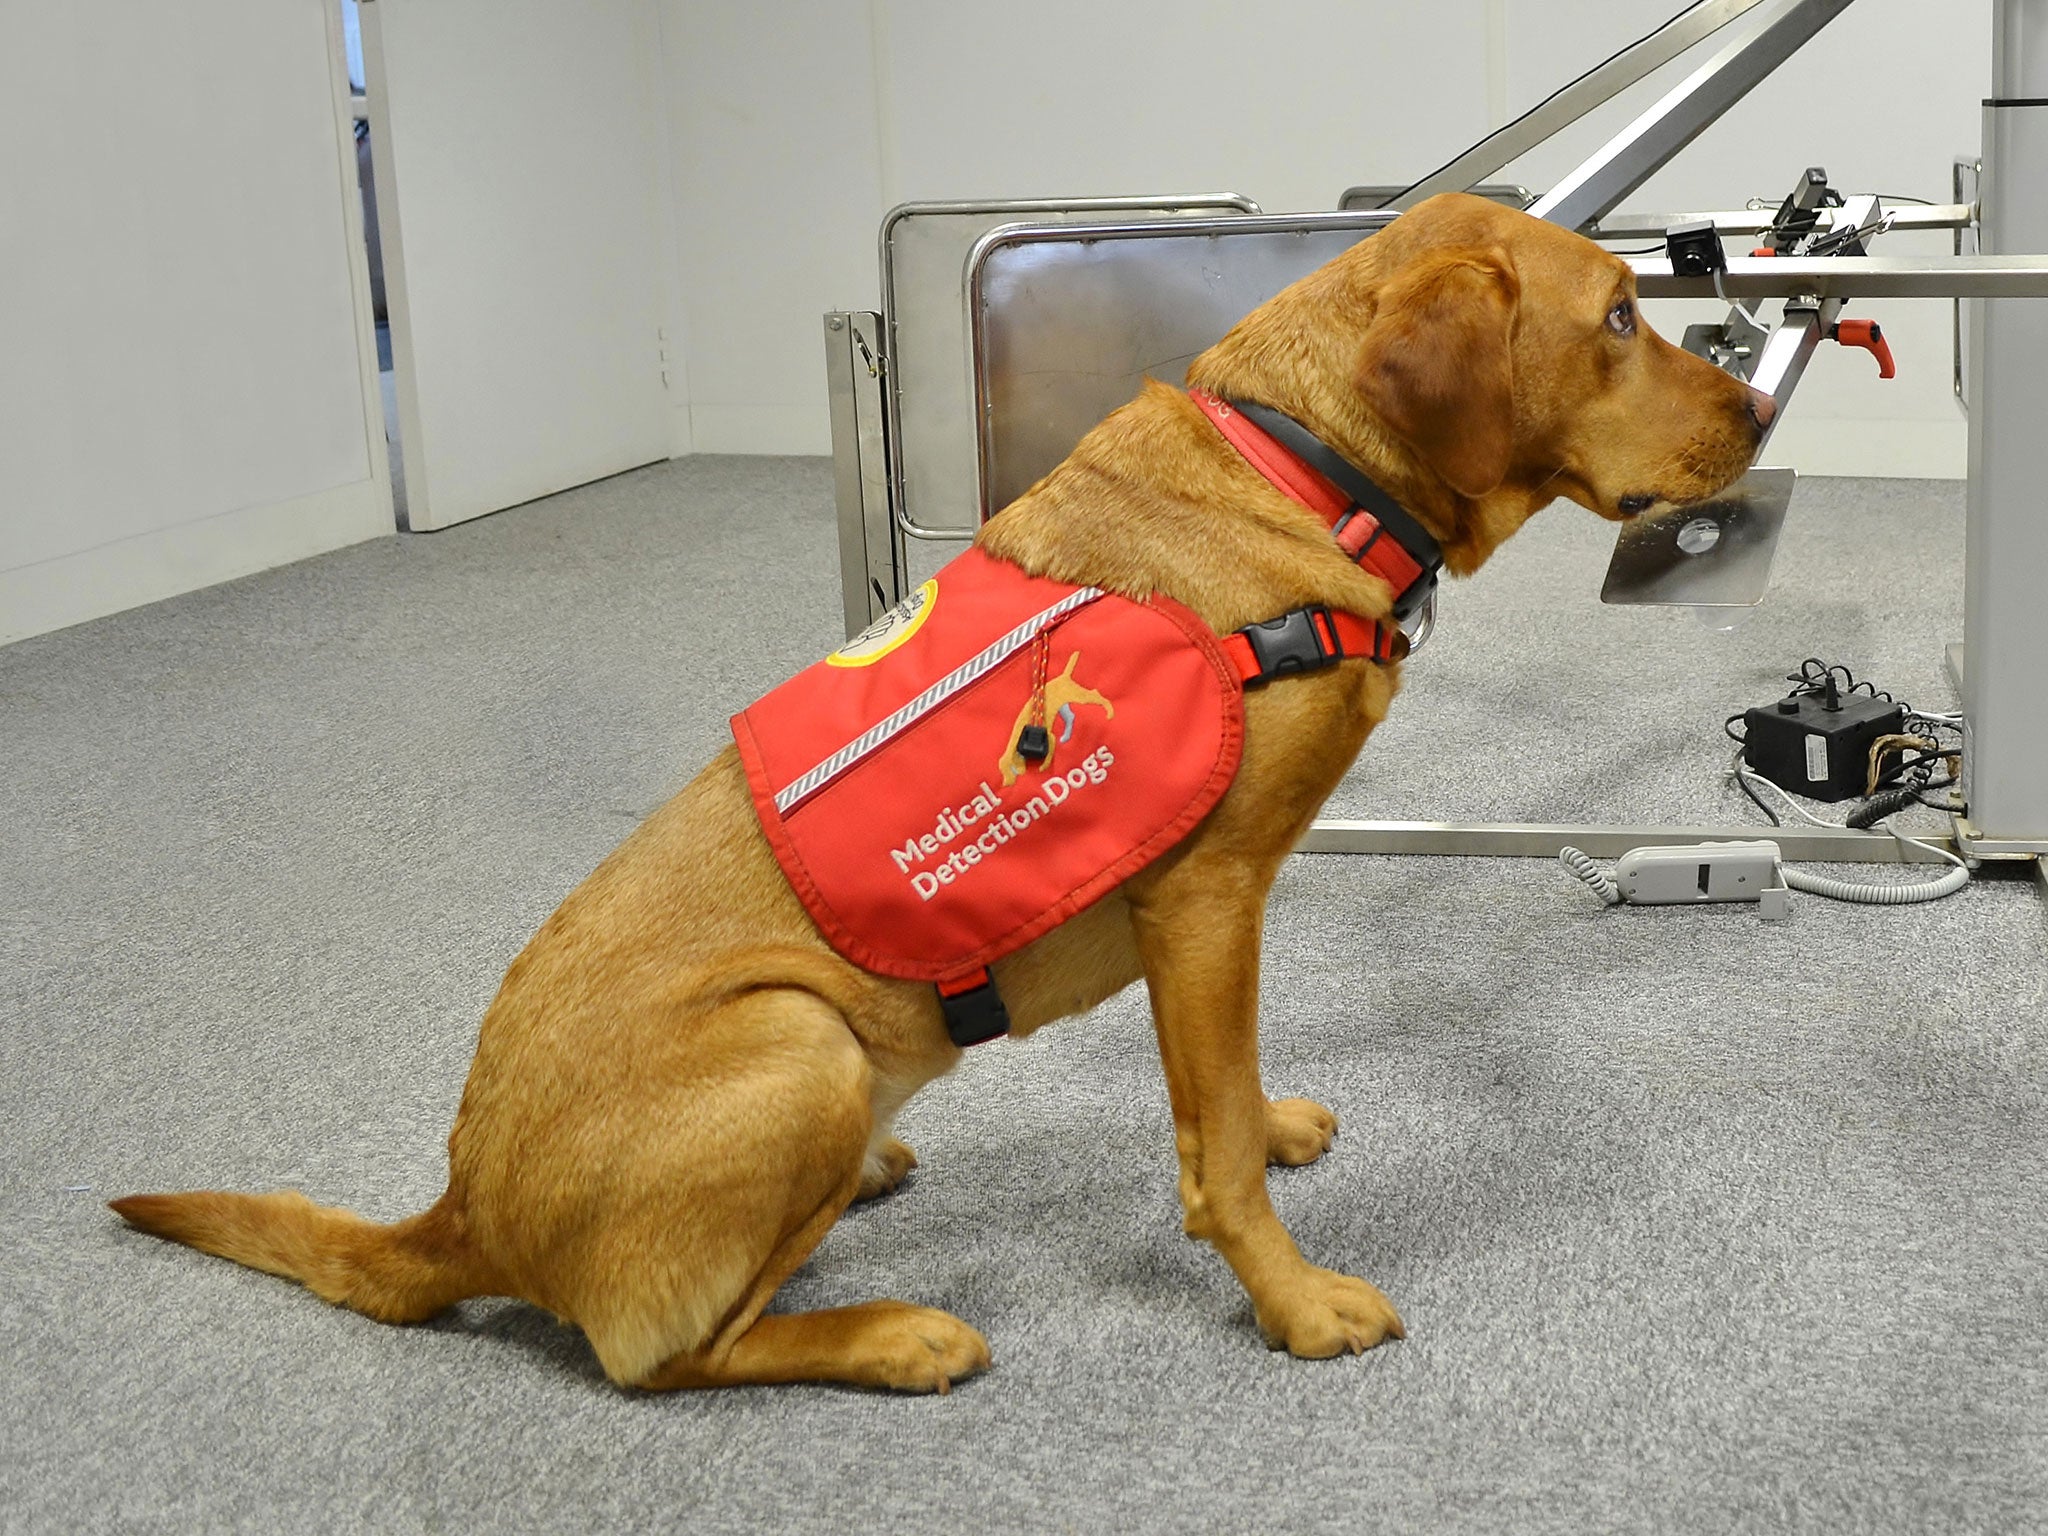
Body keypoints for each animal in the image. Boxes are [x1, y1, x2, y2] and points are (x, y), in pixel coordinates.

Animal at [116, 192, 1777, 1392]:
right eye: (1619, 316)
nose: (1766, 419)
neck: (1302, 467)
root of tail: (460, 1210)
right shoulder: (1207, 900)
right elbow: (1218, 1160)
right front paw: (1295, 1304)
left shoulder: (1212, 931)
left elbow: (1226, 1102)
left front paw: (1271, 1125)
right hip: (796, 1042)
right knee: (658, 1356)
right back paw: (888, 1335)